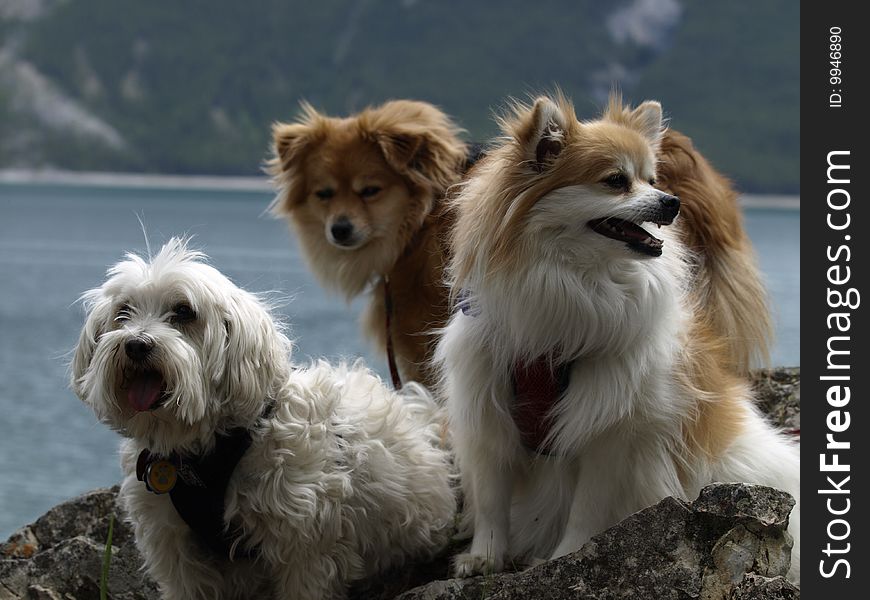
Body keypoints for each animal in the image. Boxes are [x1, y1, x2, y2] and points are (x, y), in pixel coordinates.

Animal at [68, 239, 456, 600]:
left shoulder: (304, 545)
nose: (135, 344)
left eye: (183, 312)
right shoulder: (176, 545)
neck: (209, 447)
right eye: (123, 312)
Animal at [436, 96, 804, 584]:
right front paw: (484, 557)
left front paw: (565, 558)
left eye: (653, 180)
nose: (672, 202)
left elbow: (586, 509)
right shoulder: (488, 410)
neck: (573, 281)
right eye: (616, 181)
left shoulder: (611, 428)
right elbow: (492, 498)